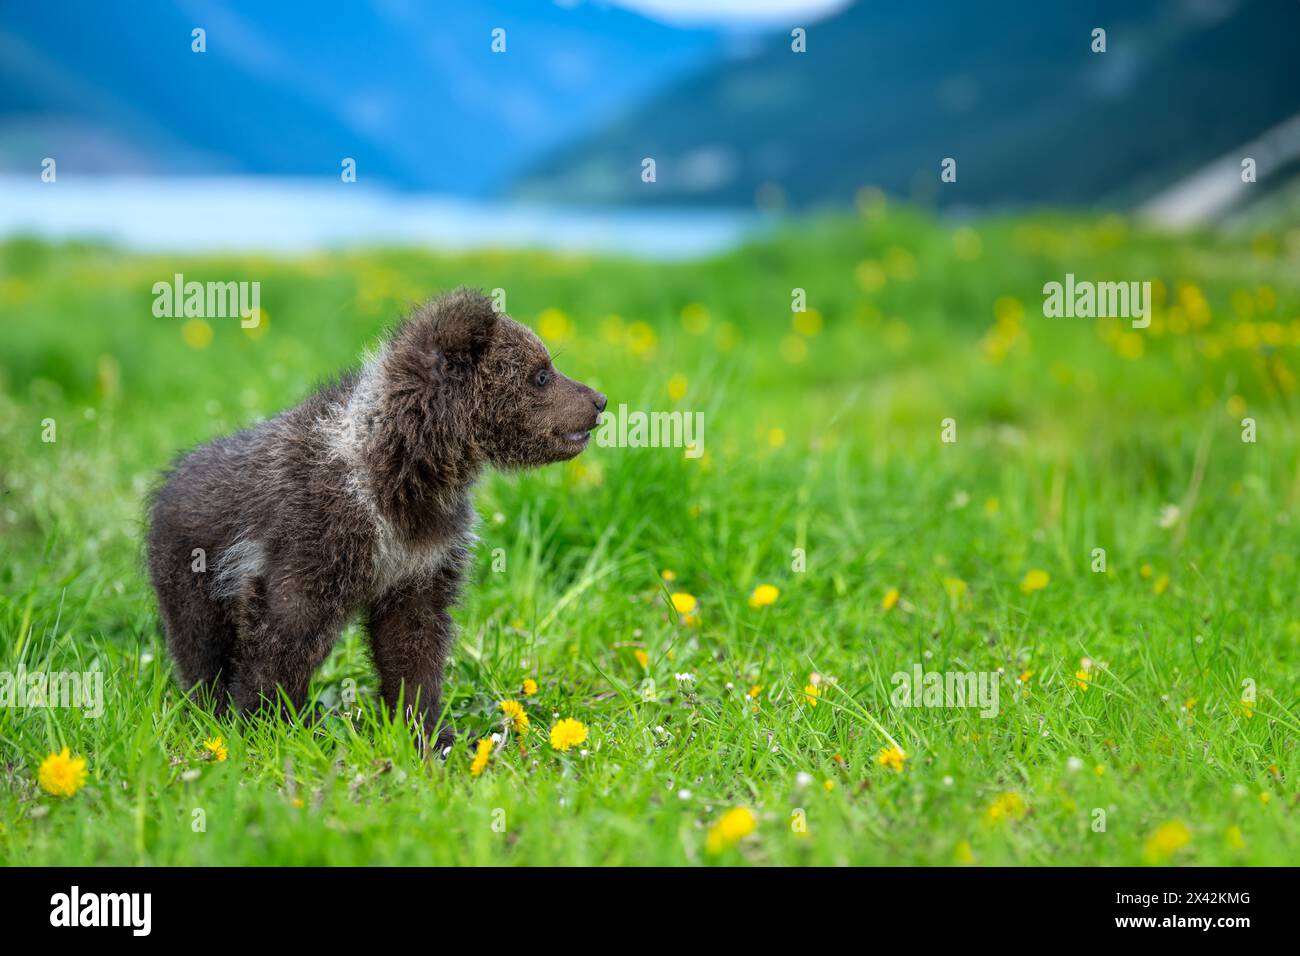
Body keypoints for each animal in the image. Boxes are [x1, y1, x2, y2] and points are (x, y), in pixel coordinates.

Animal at [145, 288, 606, 749]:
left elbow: (412, 642)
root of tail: (172, 476)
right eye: (541, 373)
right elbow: (286, 629)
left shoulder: (423, 554)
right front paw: (270, 722)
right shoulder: (315, 531)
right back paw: (210, 706)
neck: (404, 474)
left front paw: (427, 728)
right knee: (201, 643)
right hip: (191, 567)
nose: (599, 400)